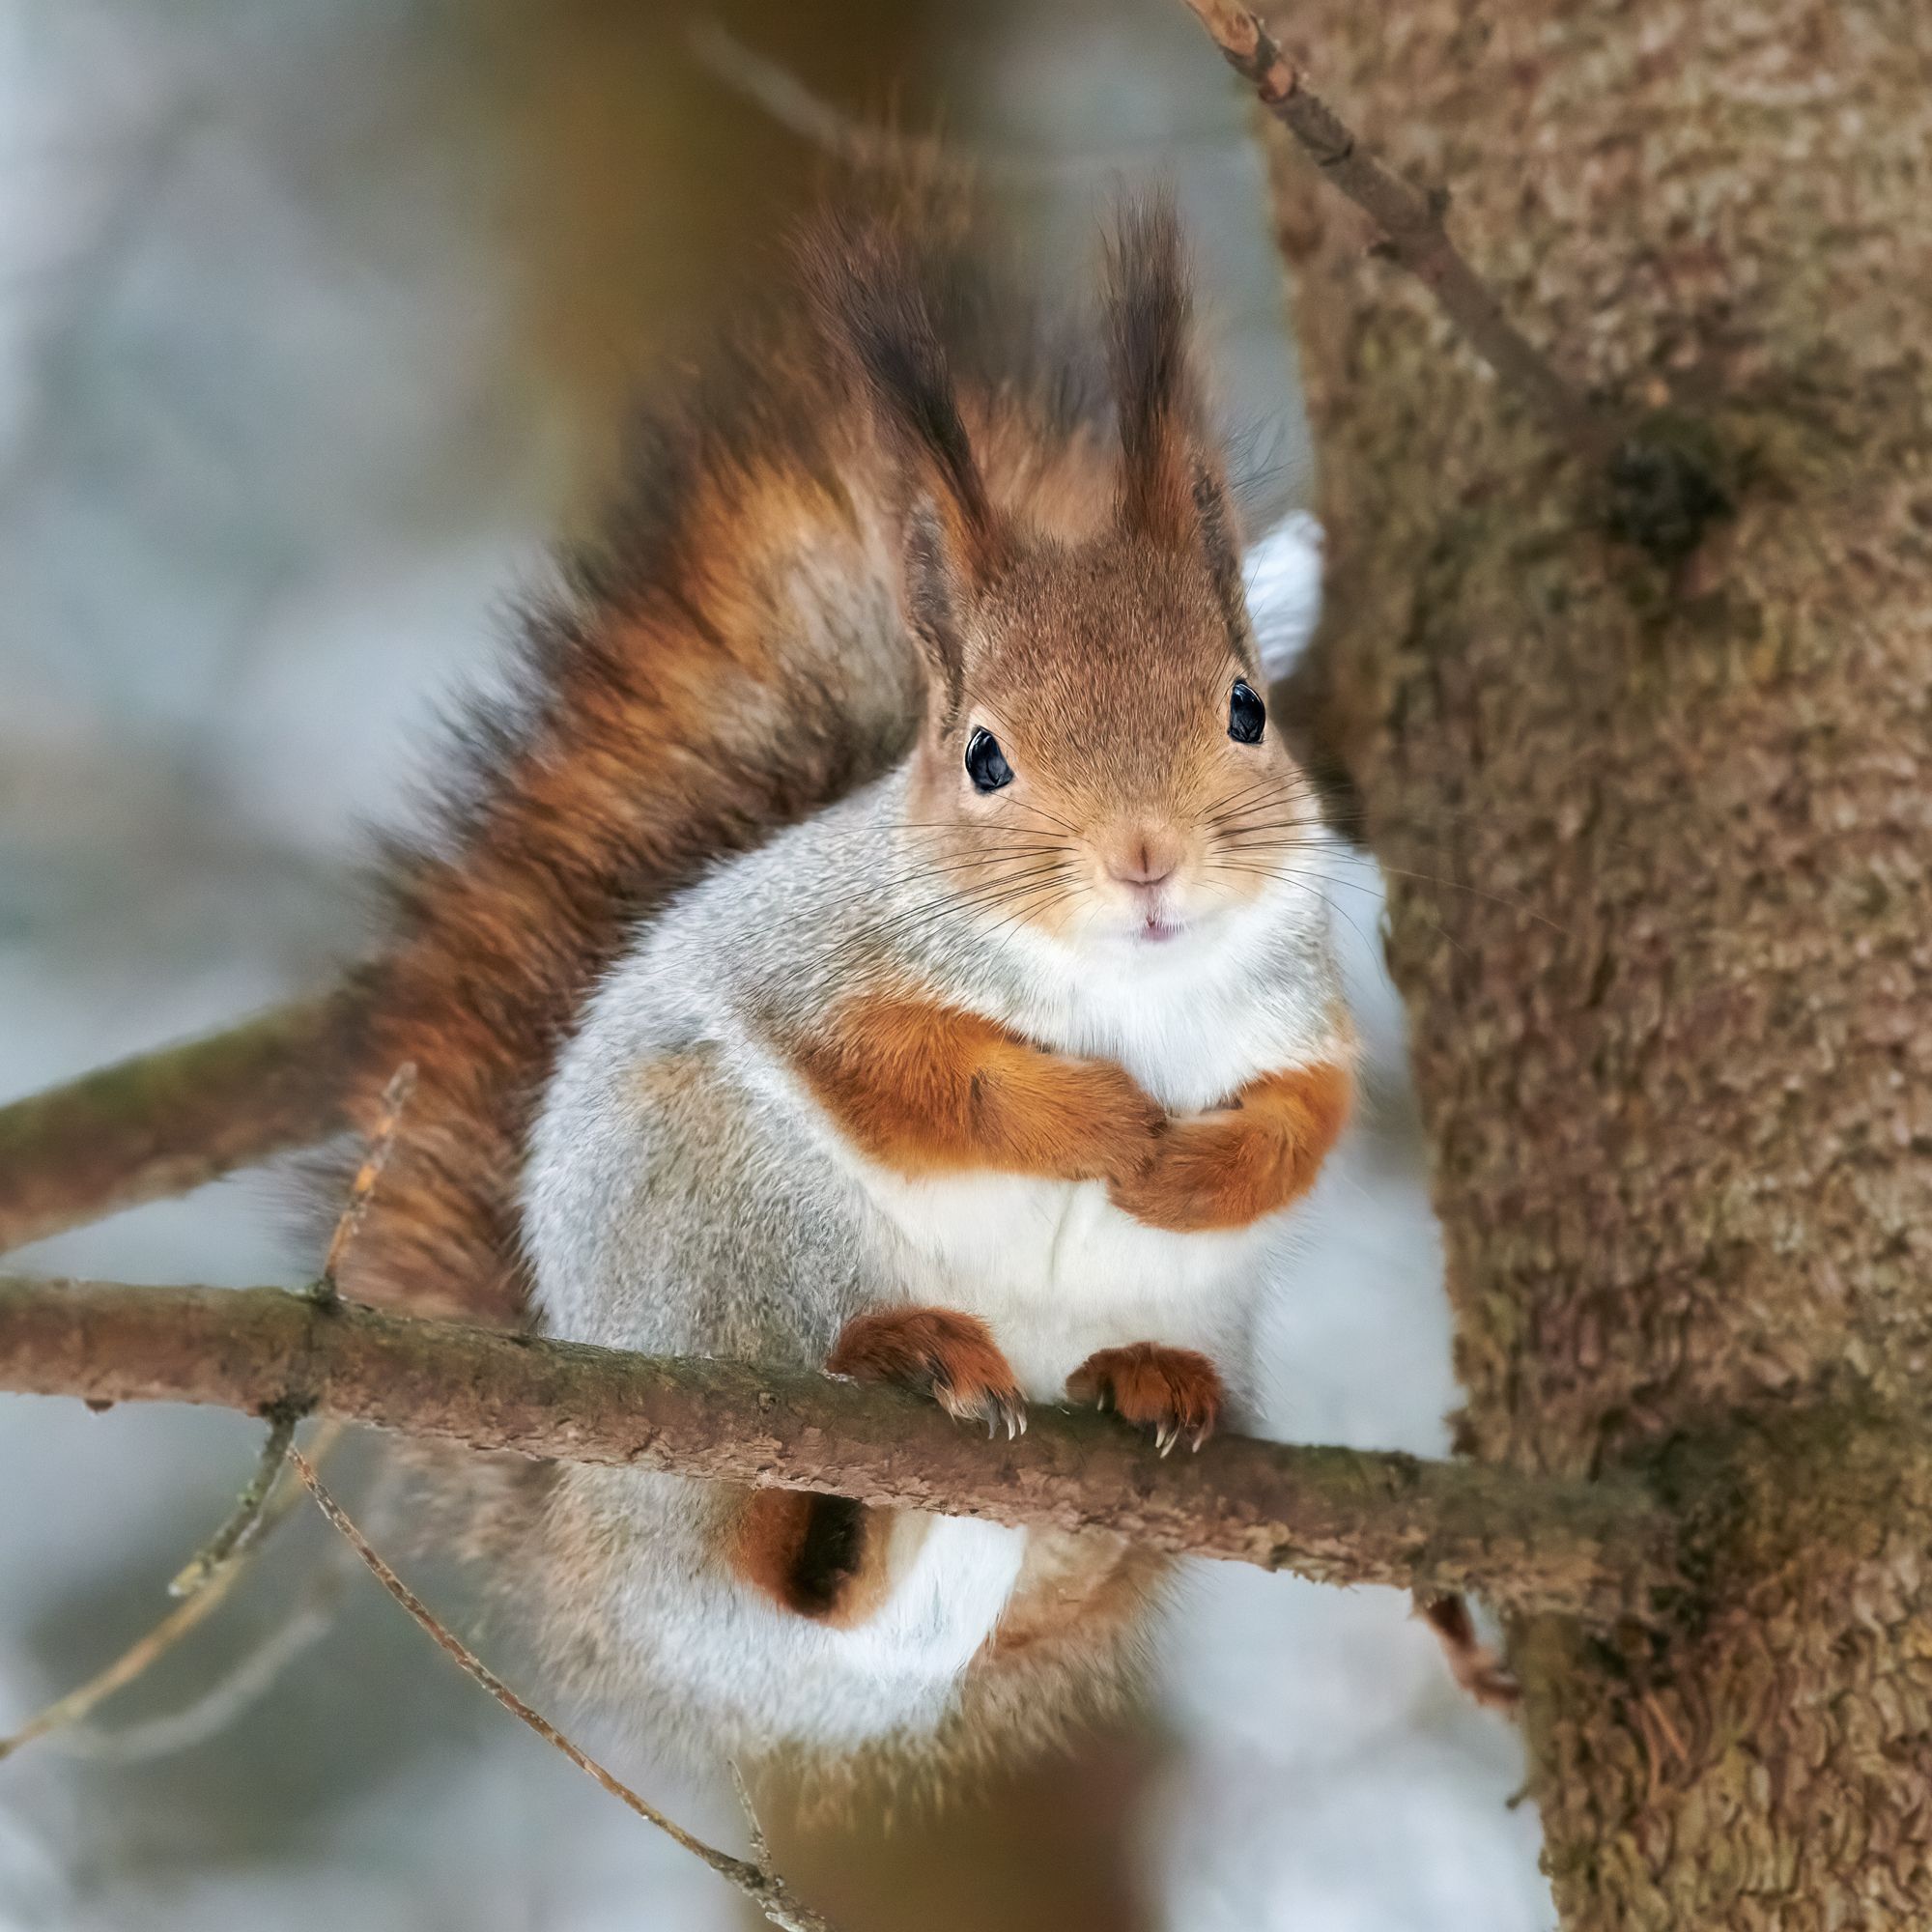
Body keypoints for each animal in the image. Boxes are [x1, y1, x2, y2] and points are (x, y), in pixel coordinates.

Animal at [328, 200, 1360, 1777]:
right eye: (984, 753)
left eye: (1246, 708)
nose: (1146, 860)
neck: (1121, 984)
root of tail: (602, 1548)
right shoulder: (816, 961)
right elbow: (915, 1072)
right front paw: (1092, 1122)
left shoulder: (1300, 1002)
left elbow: (1310, 1114)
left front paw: (1199, 1166)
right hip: (716, 1221)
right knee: (777, 1528)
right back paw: (904, 1357)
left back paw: (1145, 1381)